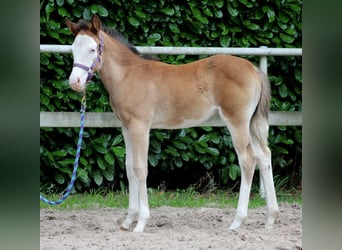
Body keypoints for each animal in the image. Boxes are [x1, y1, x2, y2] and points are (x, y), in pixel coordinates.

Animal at [66, 16, 278, 232]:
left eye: (93, 49)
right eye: (73, 49)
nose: (75, 82)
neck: (128, 75)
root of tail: (254, 69)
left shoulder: (140, 126)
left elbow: (140, 169)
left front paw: (141, 223)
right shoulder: (126, 127)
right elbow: (129, 168)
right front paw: (127, 221)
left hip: (237, 122)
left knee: (248, 160)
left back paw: (237, 221)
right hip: (250, 124)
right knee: (264, 156)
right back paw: (270, 219)